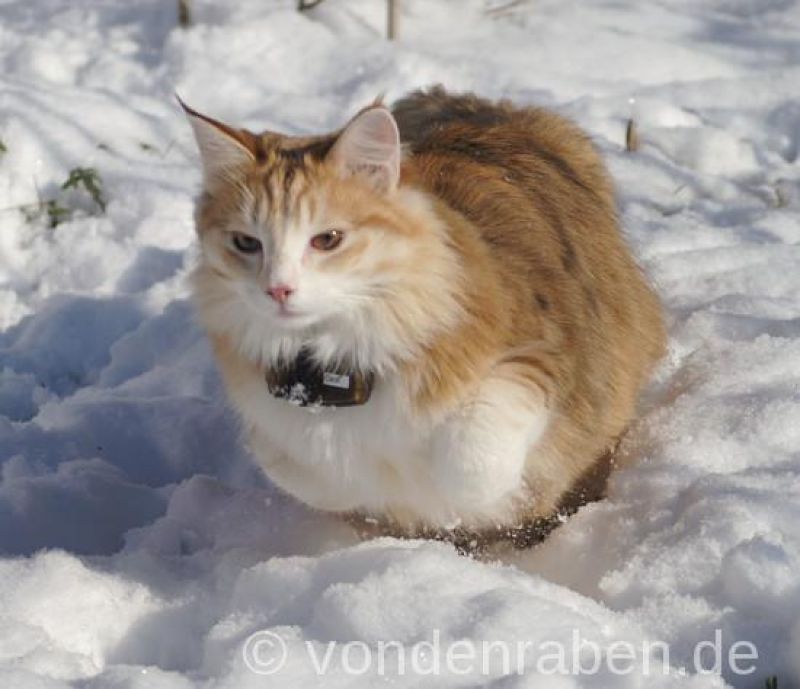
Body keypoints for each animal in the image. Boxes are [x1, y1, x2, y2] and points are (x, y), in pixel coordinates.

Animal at [184, 87, 664, 548]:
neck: (332, 358)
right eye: (247, 243)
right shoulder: (279, 425)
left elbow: (473, 463)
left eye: (328, 239)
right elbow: (311, 472)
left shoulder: (543, 355)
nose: (278, 289)